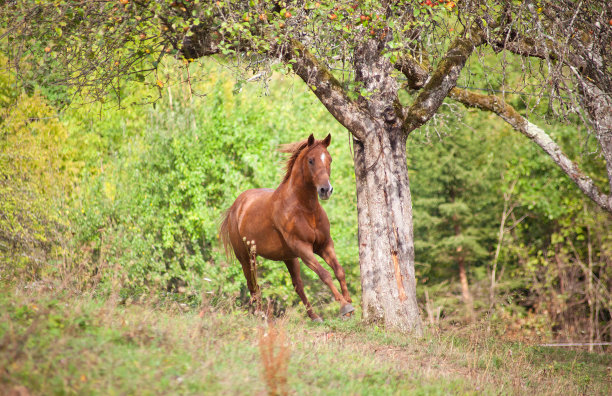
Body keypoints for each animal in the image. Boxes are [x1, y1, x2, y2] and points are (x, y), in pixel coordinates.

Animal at [219, 135, 354, 320]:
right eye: (311, 160)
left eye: (330, 159)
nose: (326, 190)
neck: (305, 209)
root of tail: (235, 207)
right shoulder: (303, 248)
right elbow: (325, 274)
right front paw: (343, 306)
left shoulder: (325, 244)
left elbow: (339, 271)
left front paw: (349, 303)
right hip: (246, 257)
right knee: (253, 284)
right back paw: (260, 314)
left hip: (288, 257)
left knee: (297, 285)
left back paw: (314, 317)